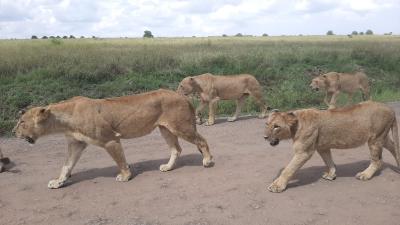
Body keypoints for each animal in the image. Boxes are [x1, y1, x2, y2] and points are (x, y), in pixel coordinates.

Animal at [12, 89, 212, 188]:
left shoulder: (110, 140)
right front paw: (58, 182)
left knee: (202, 141)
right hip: (165, 129)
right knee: (176, 149)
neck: (63, 121)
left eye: (22, 122)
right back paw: (168, 167)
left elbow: (120, 161)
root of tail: (182, 96)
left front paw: (125, 176)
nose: (14, 132)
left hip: (181, 127)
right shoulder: (76, 144)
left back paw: (208, 161)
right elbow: (66, 166)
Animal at [264, 101, 398, 192]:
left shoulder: (304, 152)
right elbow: (328, 160)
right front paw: (331, 174)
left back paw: (365, 175)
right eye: (267, 124)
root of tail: (390, 109)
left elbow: (289, 169)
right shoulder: (322, 147)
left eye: (276, 126)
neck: (296, 125)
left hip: (375, 138)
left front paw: (277, 185)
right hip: (382, 137)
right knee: (394, 147)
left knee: (377, 160)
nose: (265, 137)